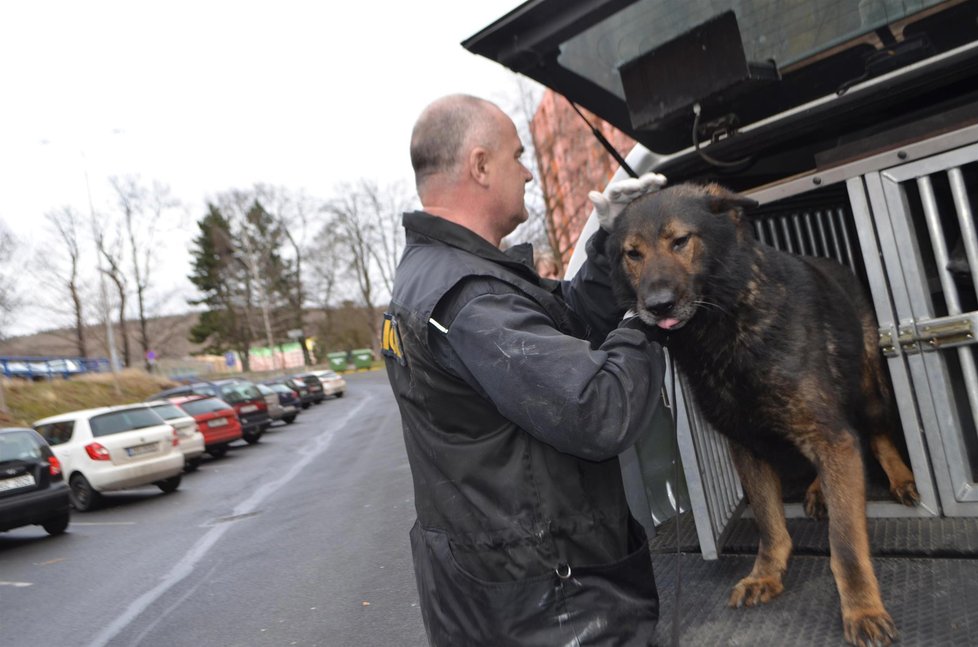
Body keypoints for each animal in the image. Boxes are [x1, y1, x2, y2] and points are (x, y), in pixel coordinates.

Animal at [608, 182, 920, 647]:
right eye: (633, 253)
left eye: (680, 241)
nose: (657, 306)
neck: (724, 325)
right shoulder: (748, 449)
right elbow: (770, 524)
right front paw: (767, 575)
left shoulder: (831, 437)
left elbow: (845, 541)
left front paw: (862, 608)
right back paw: (818, 490)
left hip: (867, 391)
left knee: (876, 434)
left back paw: (900, 479)